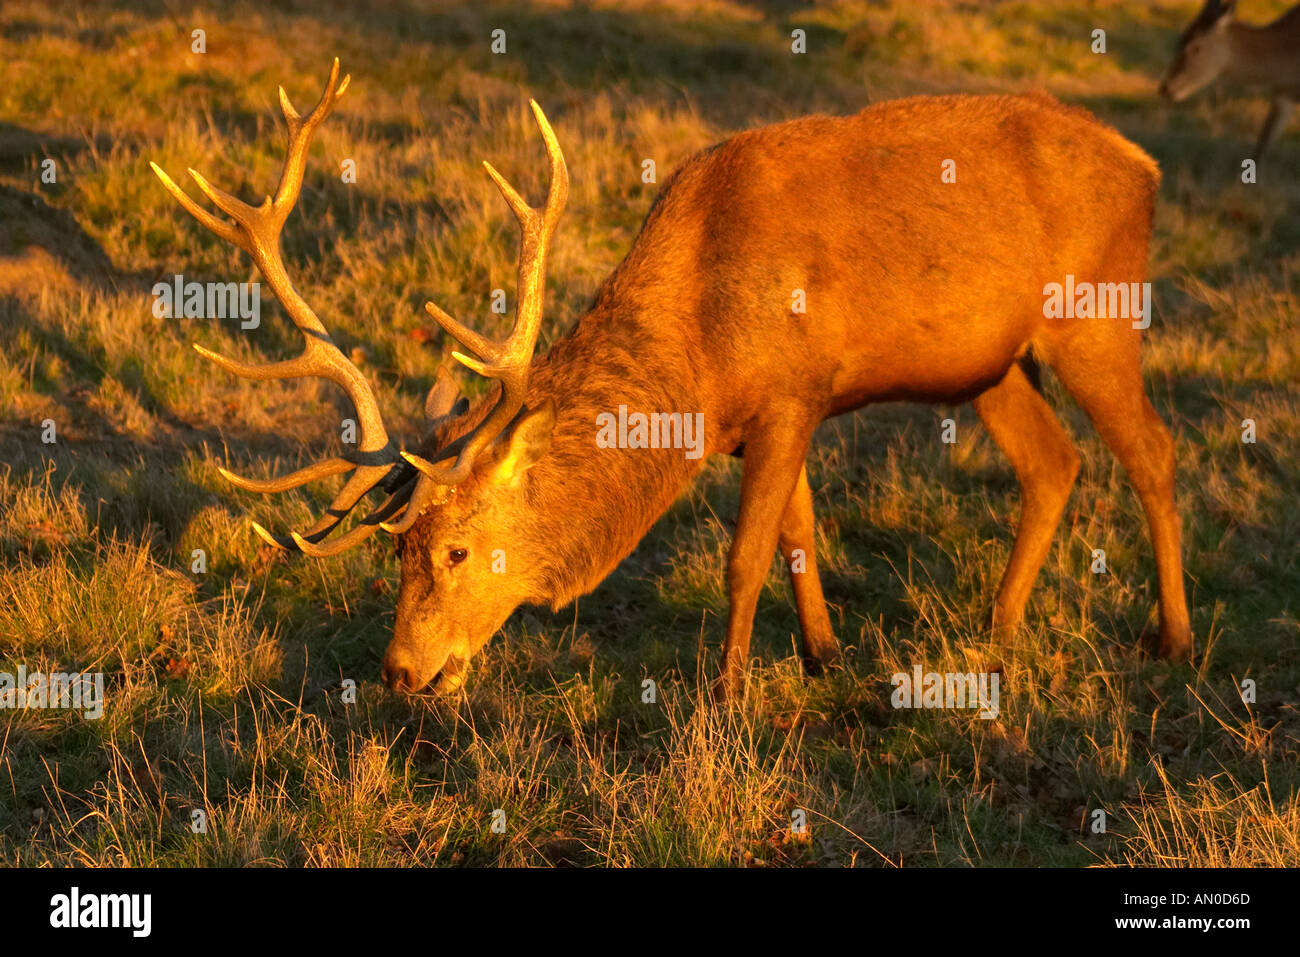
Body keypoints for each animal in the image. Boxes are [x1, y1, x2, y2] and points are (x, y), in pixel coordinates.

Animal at [152, 60, 1194, 703]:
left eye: (454, 549)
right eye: (395, 551)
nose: (402, 672)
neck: (698, 357)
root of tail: (1147, 166)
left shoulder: (792, 394)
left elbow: (747, 552)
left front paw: (728, 695)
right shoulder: (768, 412)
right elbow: (797, 536)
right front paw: (824, 656)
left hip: (1097, 316)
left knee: (1153, 450)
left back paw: (1173, 638)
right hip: (990, 364)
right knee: (1053, 462)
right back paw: (1002, 627)